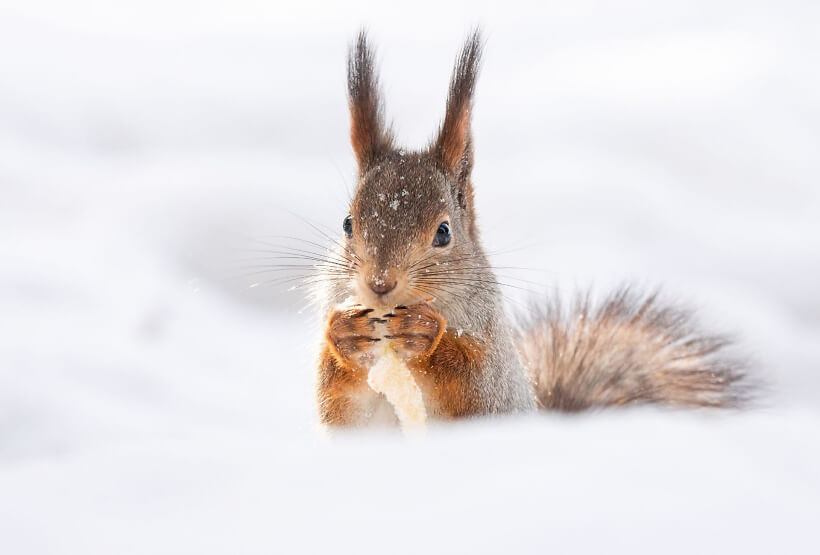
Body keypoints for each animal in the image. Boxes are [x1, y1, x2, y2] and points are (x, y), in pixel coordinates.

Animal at [310, 30, 748, 428]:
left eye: (444, 232)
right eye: (348, 224)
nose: (379, 284)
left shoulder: (494, 374)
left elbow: (473, 389)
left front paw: (426, 335)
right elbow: (339, 404)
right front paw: (345, 333)